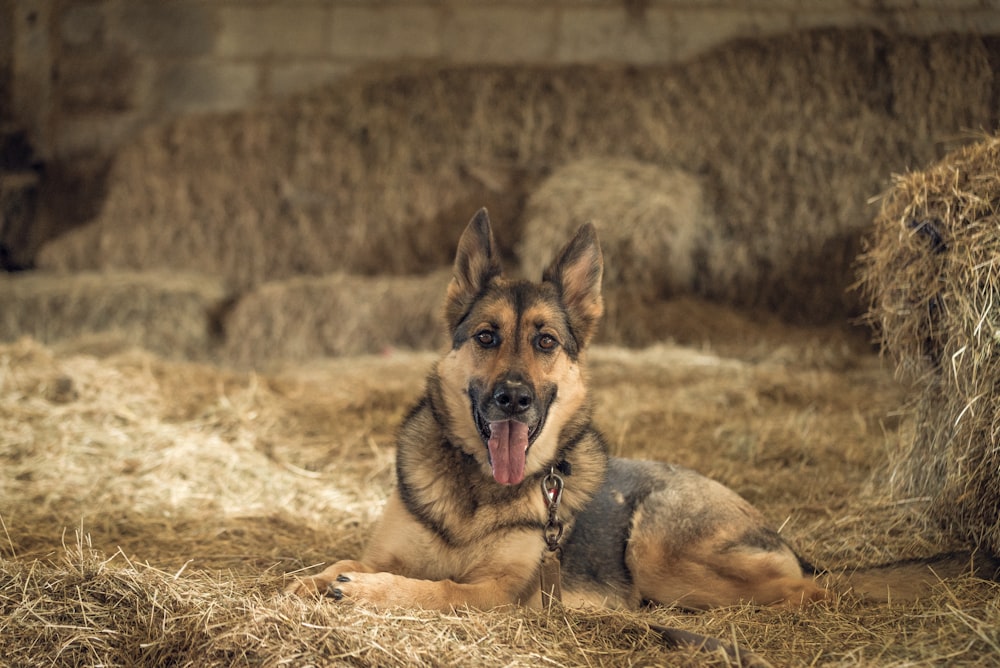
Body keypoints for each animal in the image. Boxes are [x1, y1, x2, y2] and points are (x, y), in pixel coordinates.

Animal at [286, 209, 824, 612]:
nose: (514, 398)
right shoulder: (388, 553)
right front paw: (312, 581)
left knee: (807, 590)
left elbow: (437, 589)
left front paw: (373, 590)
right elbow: (343, 563)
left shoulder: (495, 592)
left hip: (656, 555)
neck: (479, 489)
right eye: (487, 337)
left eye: (545, 341)